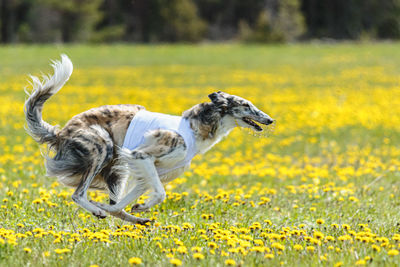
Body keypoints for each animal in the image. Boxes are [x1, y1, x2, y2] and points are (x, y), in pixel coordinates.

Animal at [23, 55, 276, 225]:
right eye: (246, 105)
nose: (270, 120)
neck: (194, 128)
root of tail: (61, 133)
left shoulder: (149, 169)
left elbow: (124, 202)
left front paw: (138, 207)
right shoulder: (141, 156)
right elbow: (160, 194)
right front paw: (131, 206)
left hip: (116, 170)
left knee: (112, 203)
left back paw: (132, 218)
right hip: (102, 148)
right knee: (78, 194)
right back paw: (97, 210)